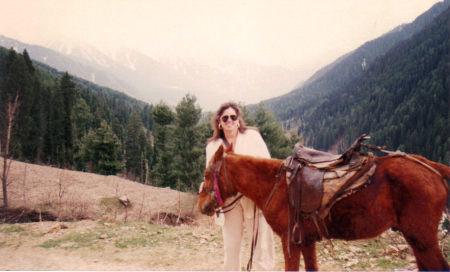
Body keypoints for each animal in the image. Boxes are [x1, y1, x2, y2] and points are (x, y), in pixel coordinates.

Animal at [200, 147, 450, 272]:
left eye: (206, 175)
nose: (202, 205)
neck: (275, 184)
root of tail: (431, 167)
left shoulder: (290, 242)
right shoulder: (306, 241)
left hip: (422, 238)